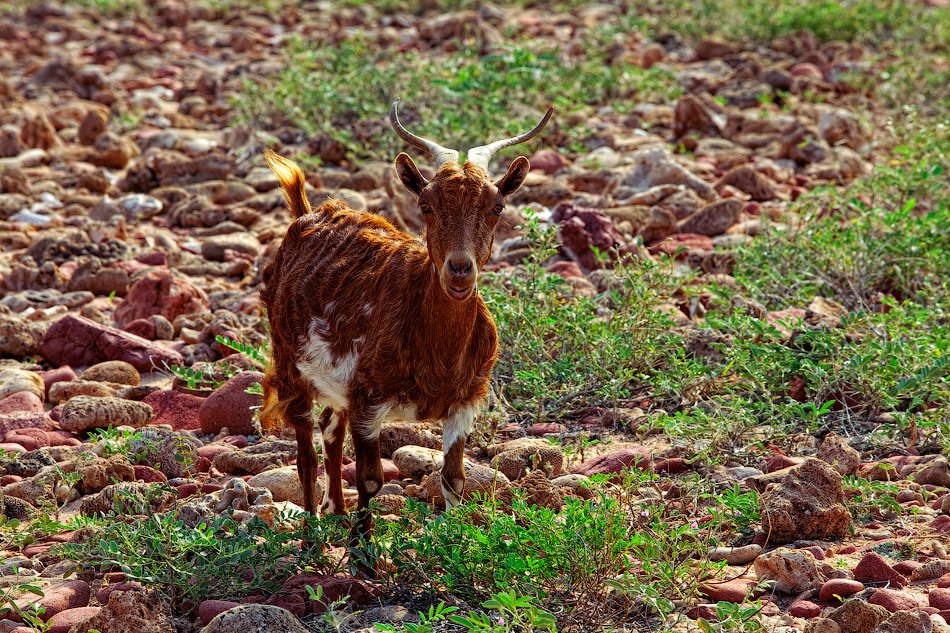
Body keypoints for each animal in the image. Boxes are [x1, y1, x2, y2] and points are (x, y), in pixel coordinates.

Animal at [260, 99, 556, 548]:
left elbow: (453, 478)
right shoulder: (368, 400)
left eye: (497, 207)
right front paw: (363, 555)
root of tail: (307, 217)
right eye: (426, 206)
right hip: (289, 361)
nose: (459, 270)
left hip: (338, 384)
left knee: (330, 432)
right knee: (306, 453)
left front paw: (452, 546)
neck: (435, 347)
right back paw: (312, 535)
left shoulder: (465, 402)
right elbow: (370, 480)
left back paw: (337, 512)